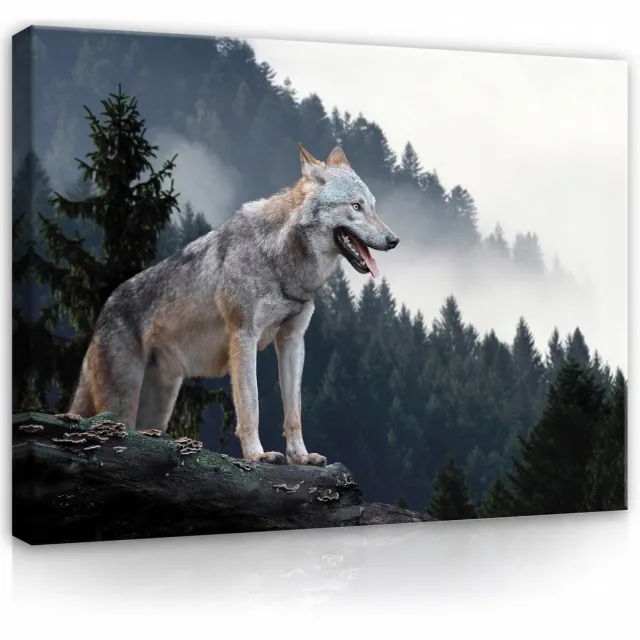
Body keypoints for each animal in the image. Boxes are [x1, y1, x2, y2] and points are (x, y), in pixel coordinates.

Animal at [69, 143, 399, 465]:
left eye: (372, 206)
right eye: (355, 206)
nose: (394, 240)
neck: (280, 261)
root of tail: (104, 310)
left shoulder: (292, 340)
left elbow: (294, 412)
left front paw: (301, 457)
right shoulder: (243, 336)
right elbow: (250, 406)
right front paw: (257, 455)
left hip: (158, 407)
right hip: (123, 402)